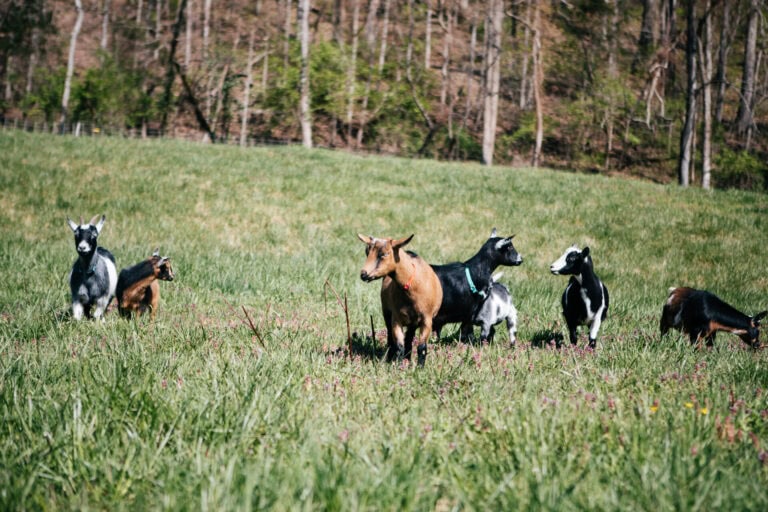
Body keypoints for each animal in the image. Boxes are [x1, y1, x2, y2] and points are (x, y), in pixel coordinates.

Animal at [358, 234, 443, 366]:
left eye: (384, 254)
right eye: (367, 252)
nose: (363, 274)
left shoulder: (427, 319)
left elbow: (422, 347)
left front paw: (420, 367)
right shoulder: (396, 317)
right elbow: (399, 345)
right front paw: (397, 365)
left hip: (413, 322)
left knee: (409, 338)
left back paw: (408, 359)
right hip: (387, 311)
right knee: (391, 338)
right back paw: (392, 357)